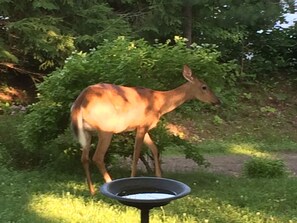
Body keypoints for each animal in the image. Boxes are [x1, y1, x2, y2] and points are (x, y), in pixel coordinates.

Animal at [70, 64, 219, 193]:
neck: (160, 103)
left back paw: (92, 191)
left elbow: (154, 148)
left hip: (87, 132)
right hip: (106, 129)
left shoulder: (142, 126)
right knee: (98, 157)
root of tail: (79, 102)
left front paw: (159, 176)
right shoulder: (142, 125)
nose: (218, 101)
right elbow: (136, 154)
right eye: (204, 87)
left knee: (84, 158)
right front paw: (132, 178)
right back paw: (109, 183)